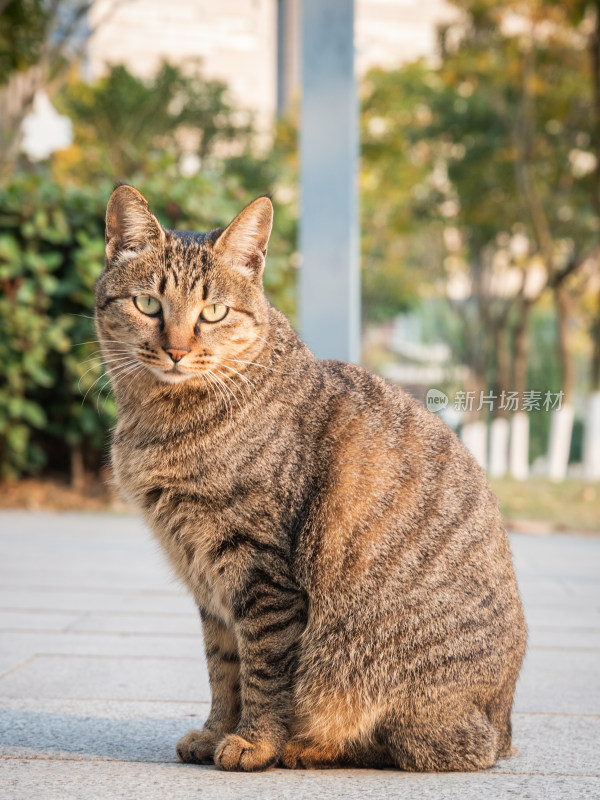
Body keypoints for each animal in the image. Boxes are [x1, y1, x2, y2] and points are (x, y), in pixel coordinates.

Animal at [94, 184, 524, 772]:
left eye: (213, 312)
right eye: (148, 304)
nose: (177, 350)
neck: (162, 415)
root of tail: (502, 726)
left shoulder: (259, 569)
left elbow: (262, 670)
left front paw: (254, 741)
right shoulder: (209, 582)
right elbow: (222, 668)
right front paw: (215, 731)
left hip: (375, 671)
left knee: (403, 742)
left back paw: (304, 746)